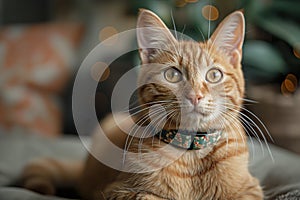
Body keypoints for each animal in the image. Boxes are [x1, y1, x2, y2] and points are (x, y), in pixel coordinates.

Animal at [22, 9, 262, 198]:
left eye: (214, 75)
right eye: (172, 75)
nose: (195, 96)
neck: (191, 155)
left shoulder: (251, 190)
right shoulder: (121, 192)